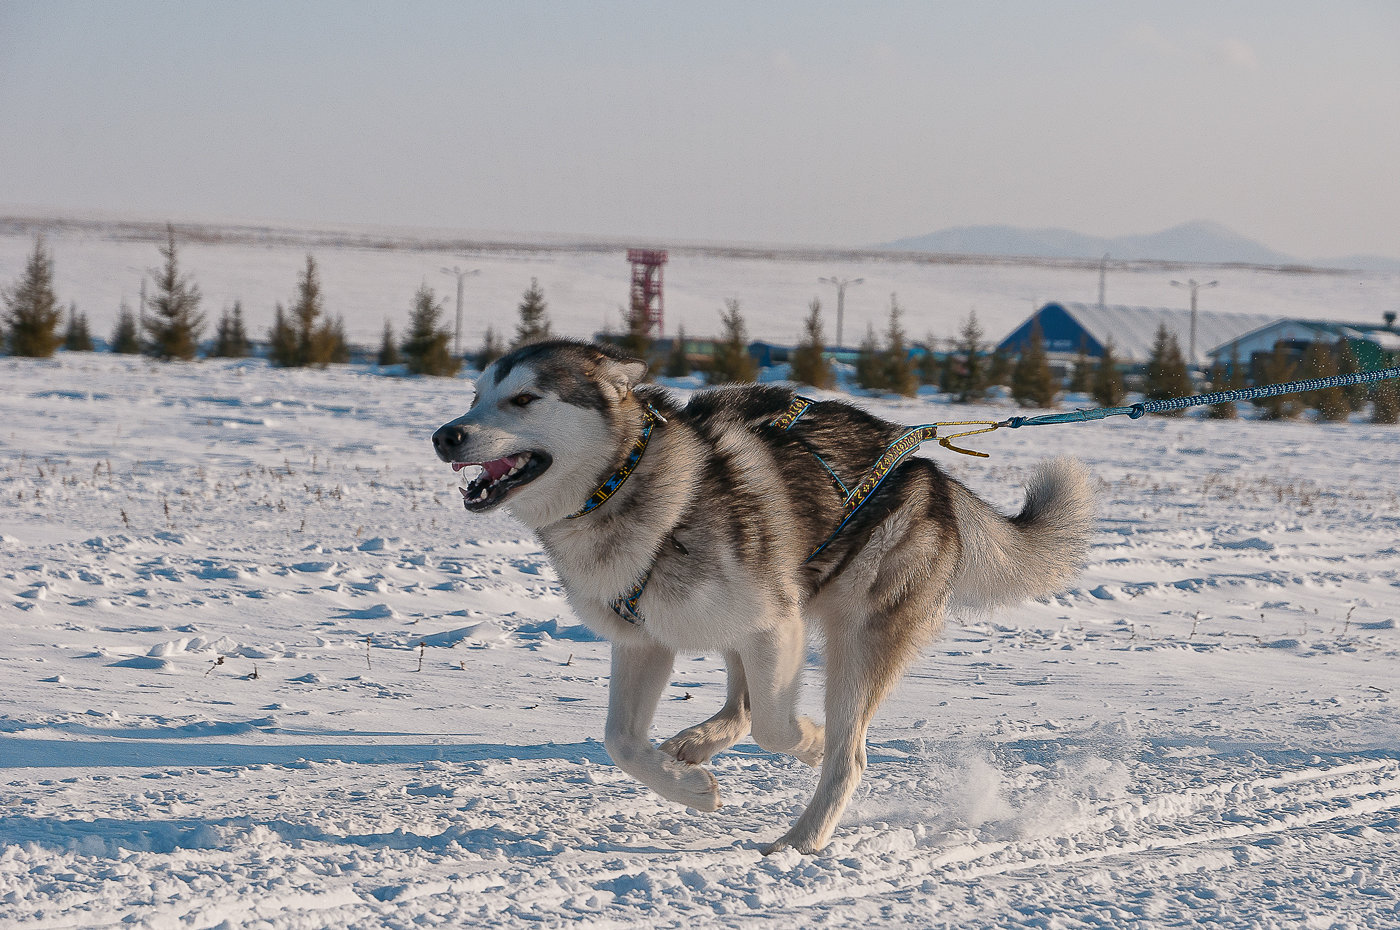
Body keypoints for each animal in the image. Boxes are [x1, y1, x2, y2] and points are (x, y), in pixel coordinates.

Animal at [428, 337, 1092, 851]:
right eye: (475, 397)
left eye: (523, 399)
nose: (445, 435)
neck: (624, 483)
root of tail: (930, 473)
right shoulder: (645, 641)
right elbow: (620, 741)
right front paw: (690, 789)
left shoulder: (776, 625)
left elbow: (780, 730)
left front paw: (810, 742)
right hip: (732, 630)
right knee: (741, 704)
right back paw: (696, 747)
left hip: (854, 640)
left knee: (844, 752)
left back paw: (804, 834)